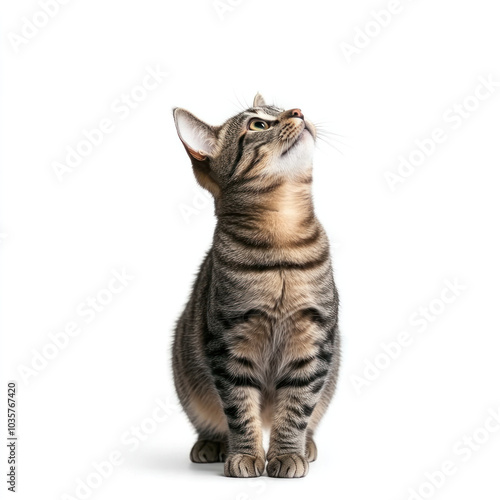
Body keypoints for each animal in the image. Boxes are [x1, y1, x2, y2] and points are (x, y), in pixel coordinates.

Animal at [171, 92, 340, 478]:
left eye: (282, 110)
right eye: (258, 124)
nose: (299, 112)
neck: (282, 237)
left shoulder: (314, 340)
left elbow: (296, 408)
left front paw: (288, 453)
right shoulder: (229, 344)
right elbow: (239, 409)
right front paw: (246, 455)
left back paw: (307, 445)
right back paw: (212, 443)